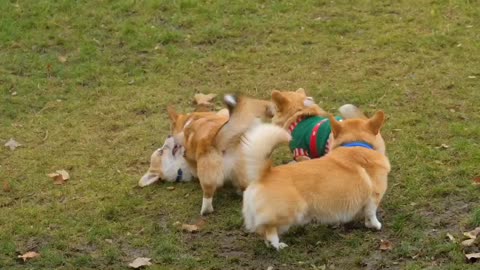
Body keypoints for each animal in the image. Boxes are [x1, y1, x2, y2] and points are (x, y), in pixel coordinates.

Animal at [240, 105, 390, 249]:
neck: (357, 144)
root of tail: (264, 174)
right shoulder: (374, 197)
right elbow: (371, 214)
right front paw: (376, 226)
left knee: (262, 232)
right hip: (290, 213)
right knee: (269, 230)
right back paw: (278, 245)